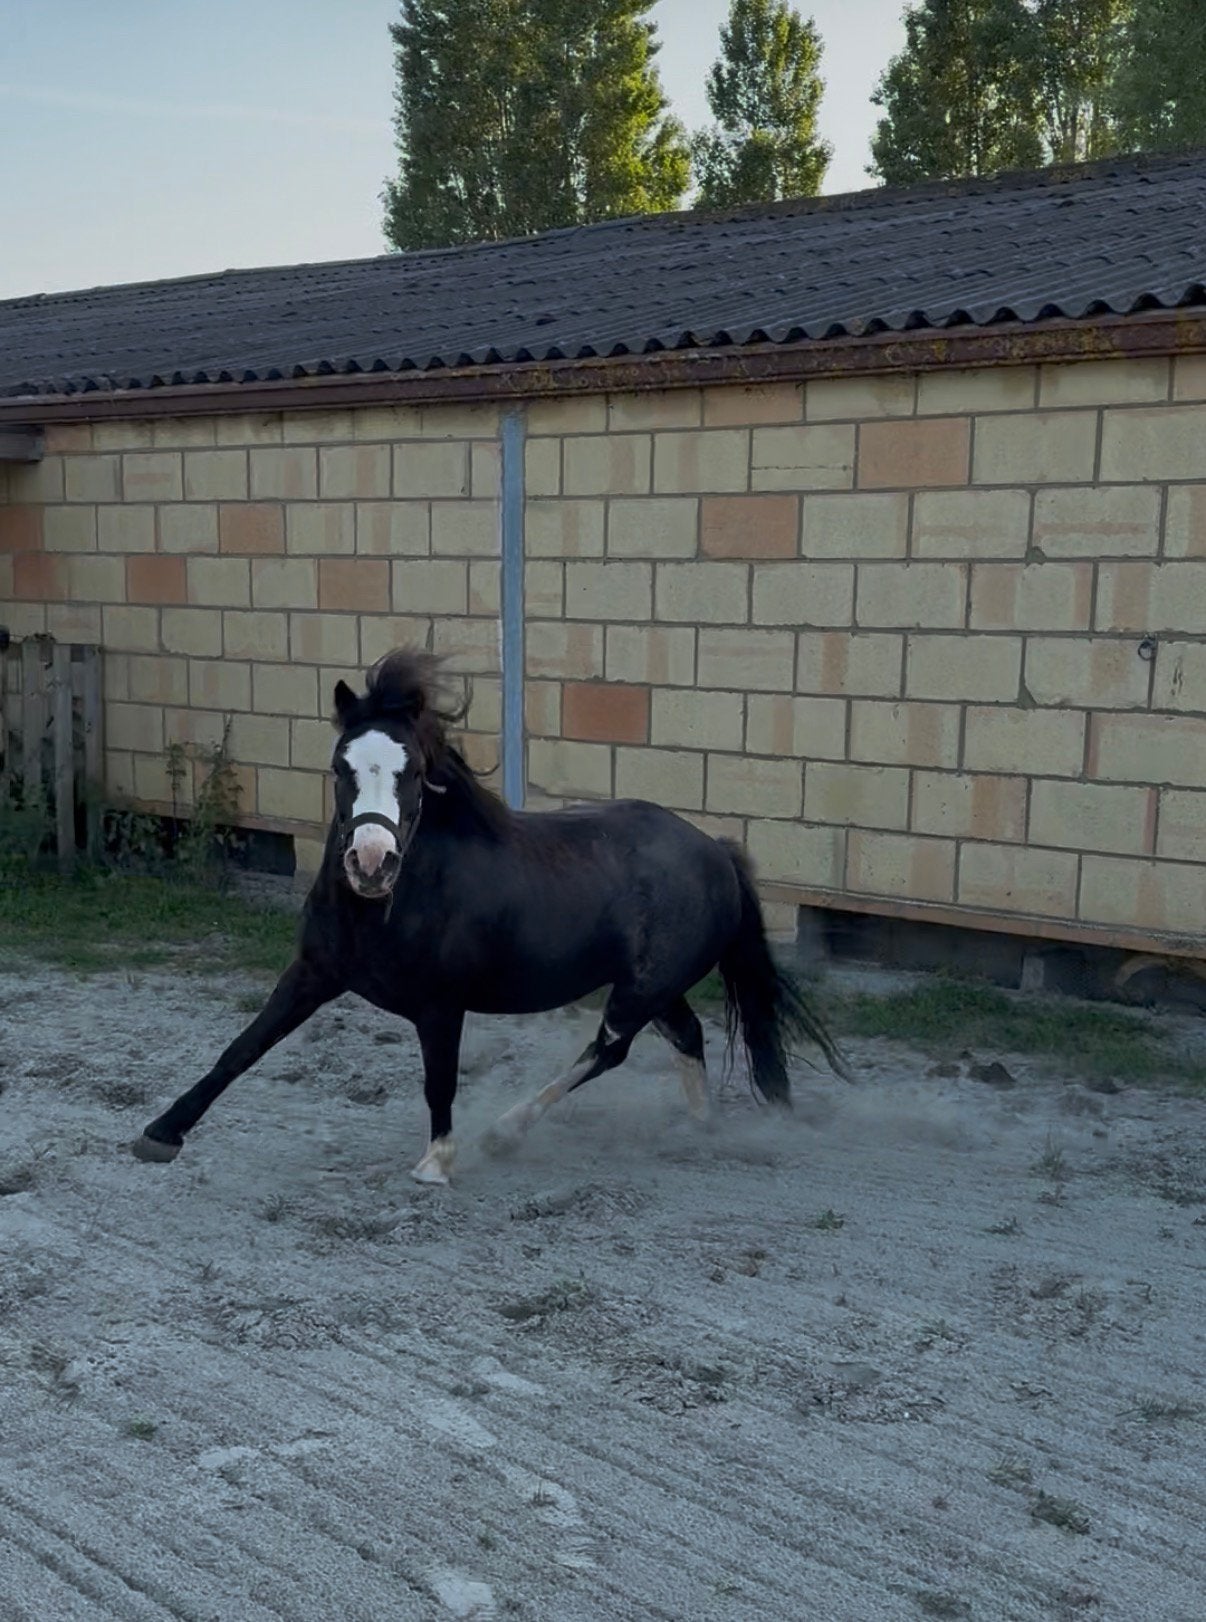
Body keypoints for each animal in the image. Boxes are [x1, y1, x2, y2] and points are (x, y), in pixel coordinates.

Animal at [132, 649, 848, 1184]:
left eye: (412, 769)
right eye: (340, 765)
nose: (371, 862)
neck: (391, 906)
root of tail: (716, 852)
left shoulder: (440, 1005)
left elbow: (439, 1081)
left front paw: (437, 1163)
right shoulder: (312, 973)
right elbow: (242, 1048)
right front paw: (161, 1133)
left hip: (641, 988)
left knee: (609, 1049)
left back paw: (507, 1131)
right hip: (654, 986)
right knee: (686, 1035)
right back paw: (700, 1127)